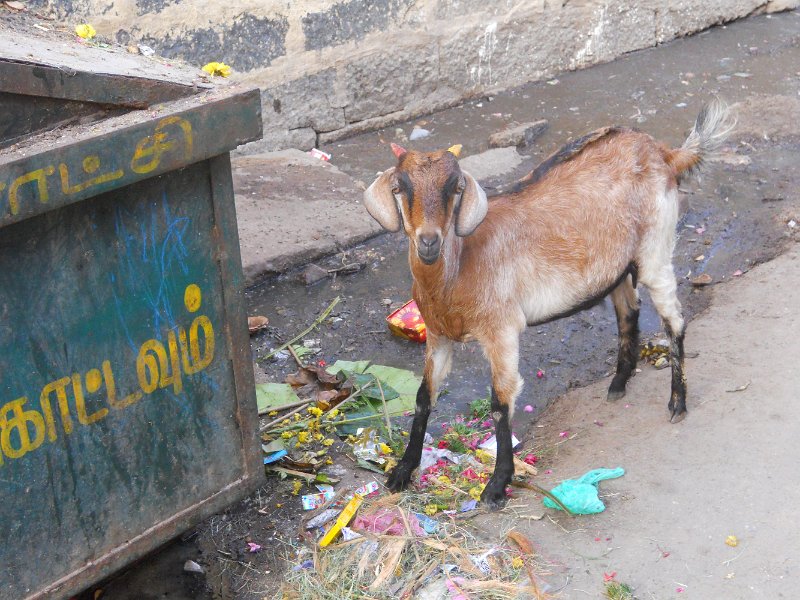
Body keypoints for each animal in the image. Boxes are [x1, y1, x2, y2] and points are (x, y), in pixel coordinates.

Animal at [364, 99, 734, 509]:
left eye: (455, 188)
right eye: (400, 187)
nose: (429, 242)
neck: (458, 270)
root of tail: (664, 152)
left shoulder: (501, 331)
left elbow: (500, 404)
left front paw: (497, 485)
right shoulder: (439, 334)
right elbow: (423, 397)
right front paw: (402, 471)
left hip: (655, 248)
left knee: (674, 322)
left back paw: (677, 403)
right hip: (615, 265)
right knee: (629, 310)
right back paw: (619, 381)